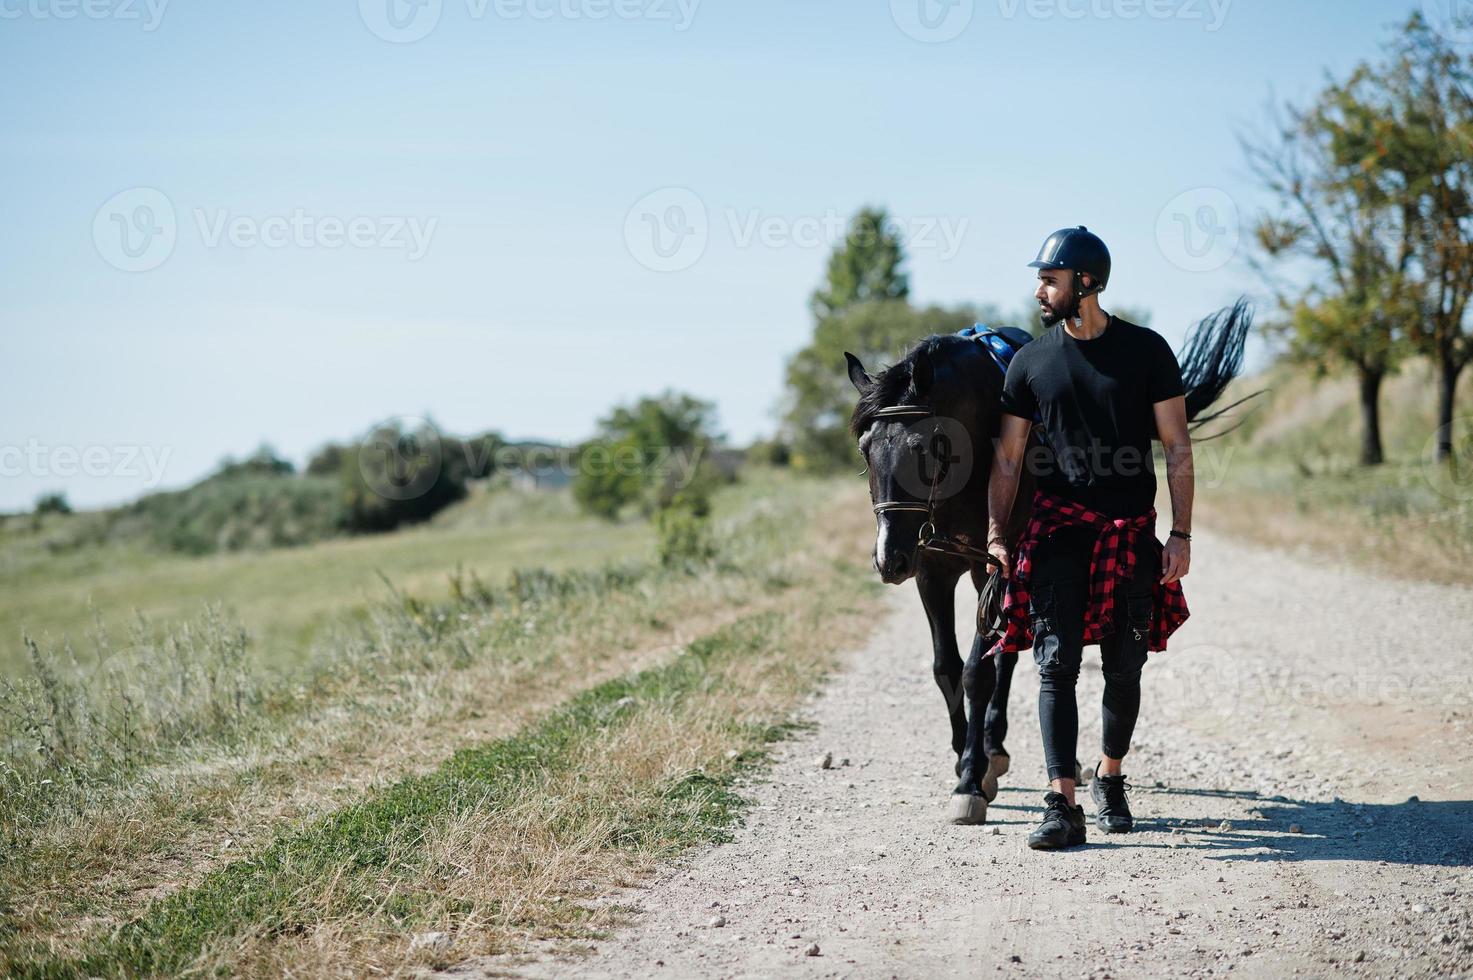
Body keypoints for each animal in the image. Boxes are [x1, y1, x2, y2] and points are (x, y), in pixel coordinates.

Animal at [848, 302, 1249, 819]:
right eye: (865, 449)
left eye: (921, 447)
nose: (889, 558)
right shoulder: (932, 571)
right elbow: (946, 668)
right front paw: (962, 756)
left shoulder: (990, 567)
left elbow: (978, 671)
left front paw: (970, 779)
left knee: (1006, 658)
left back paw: (997, 753)